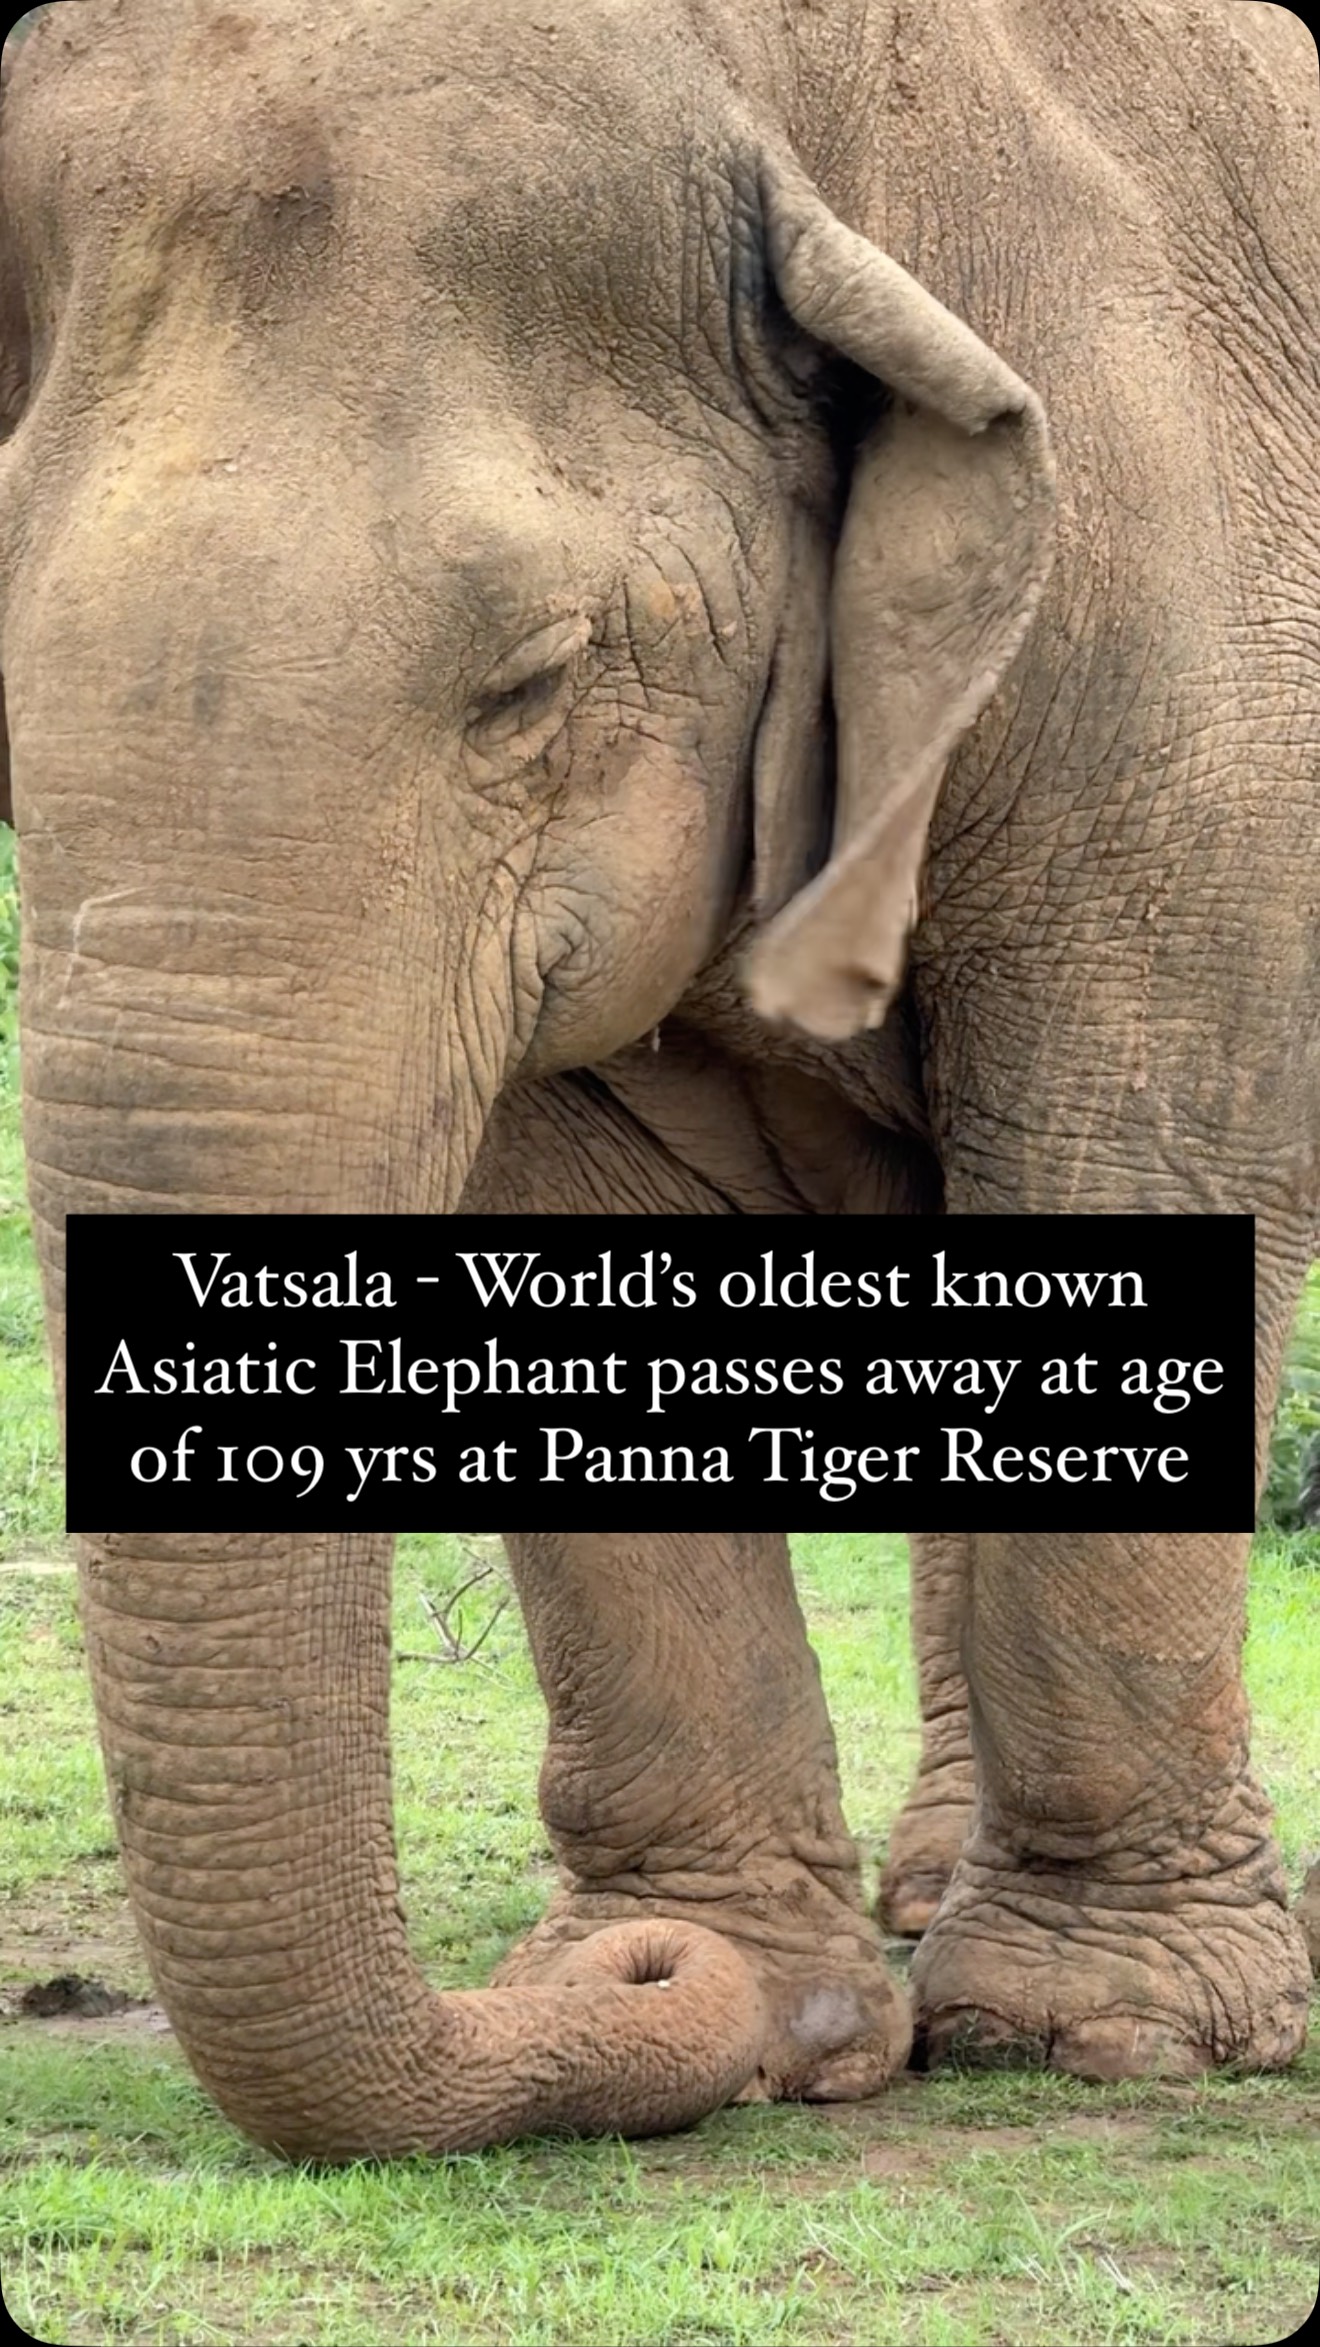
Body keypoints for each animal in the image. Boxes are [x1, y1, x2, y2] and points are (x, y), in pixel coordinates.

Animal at [0, 0, 1316, 2160]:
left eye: (532, 679)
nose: (623, 1977)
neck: (775, 85)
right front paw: (770, 2002)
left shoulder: (1190, 626)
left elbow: (1142, 1158)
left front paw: (1109, 2037)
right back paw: (917, 1904)